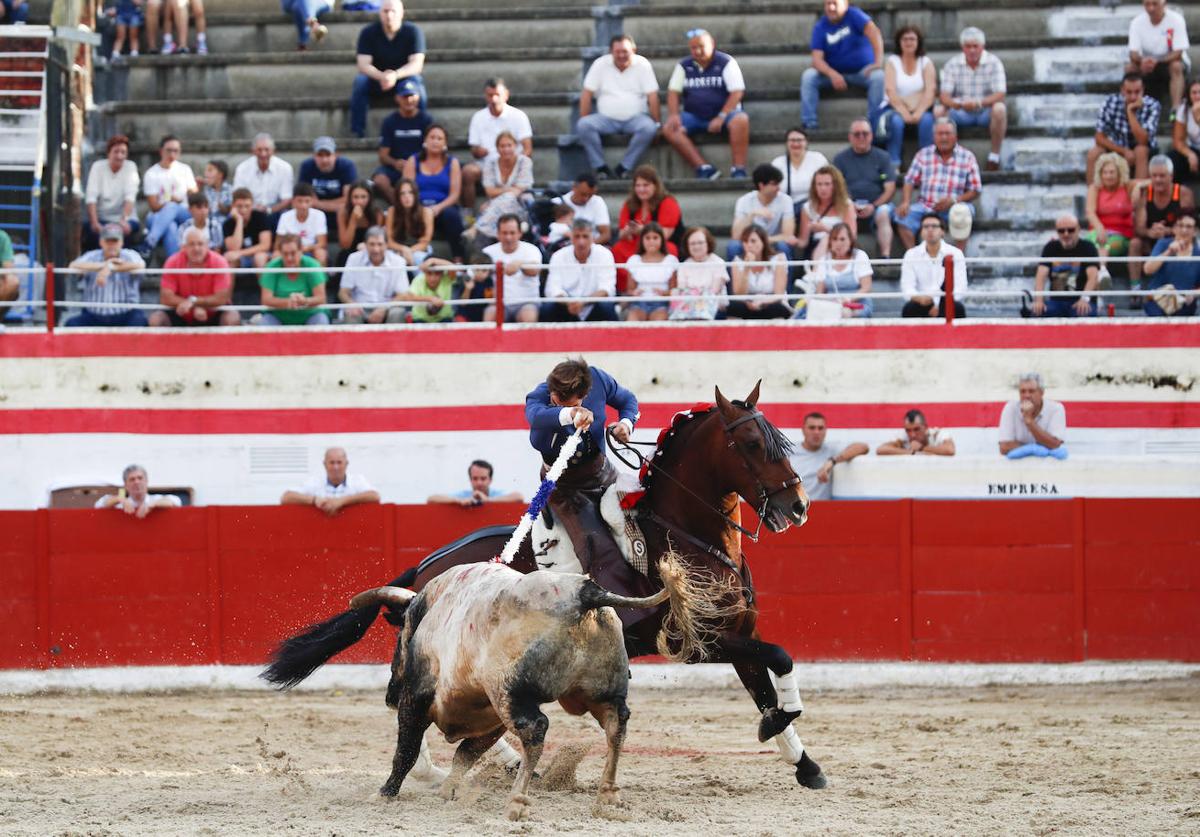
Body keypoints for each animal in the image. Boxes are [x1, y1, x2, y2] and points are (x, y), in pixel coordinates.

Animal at [262, 381, 825, 786]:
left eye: (782, 439)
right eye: (751, 443)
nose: (798, 506)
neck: (682, 534)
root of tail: (428, 564)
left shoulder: (738, 634)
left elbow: (767, 683)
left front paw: (805, 765)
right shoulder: (693, 642)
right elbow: (780, 660)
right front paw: (780, 728)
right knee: (412, 696)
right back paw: (451, 767)